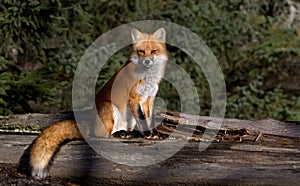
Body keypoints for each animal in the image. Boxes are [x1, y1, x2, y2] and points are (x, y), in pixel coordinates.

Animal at [29, 28, 169, 179]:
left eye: (154, 51)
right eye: (141, 51)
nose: (147, 61)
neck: (147, 77)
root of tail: (90, 123)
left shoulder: (149, 99)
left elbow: (150, 120)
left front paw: (155, 134)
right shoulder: (134, 98)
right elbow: (143, 120)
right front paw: (149, 135)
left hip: (129, 119)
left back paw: (130, 134)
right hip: (110, 108)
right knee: (104, 135)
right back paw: (121, 134)